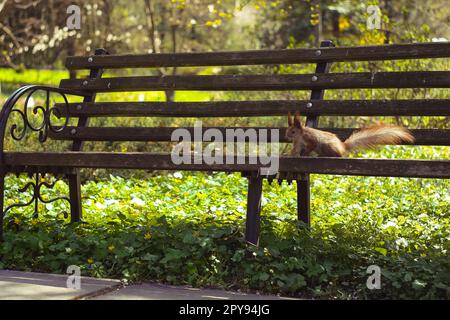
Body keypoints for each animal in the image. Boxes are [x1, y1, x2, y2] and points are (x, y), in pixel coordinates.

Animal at [284, 112, 414, 158]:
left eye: (293, 131)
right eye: (287, 130)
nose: (287, 136)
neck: (300, 136)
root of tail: (342, 146)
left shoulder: (310, 138)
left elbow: (311, 145)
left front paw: (305, 154)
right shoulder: (297, 143)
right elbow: (295, 150)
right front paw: (288, 155)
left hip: (328, 146)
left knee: (338, 155)